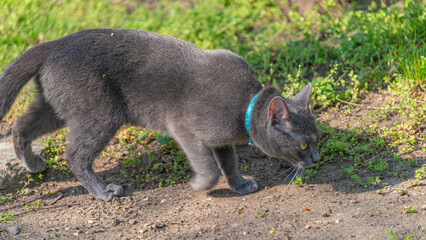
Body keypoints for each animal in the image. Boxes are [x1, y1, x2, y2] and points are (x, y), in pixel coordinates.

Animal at [0, 29, 320, 201]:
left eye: (319, 139)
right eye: (304, 144)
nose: (317, 159)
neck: (245, 106)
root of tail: (52, 44)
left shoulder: (218, 140)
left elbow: (228, 162)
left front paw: (240, 185)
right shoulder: (183, 127)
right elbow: (211, 167)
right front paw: (200, 185)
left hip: (56, 107)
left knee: (20, 125)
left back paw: (32, 164)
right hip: (100, 115)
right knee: (75, 156)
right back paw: (103, 191)